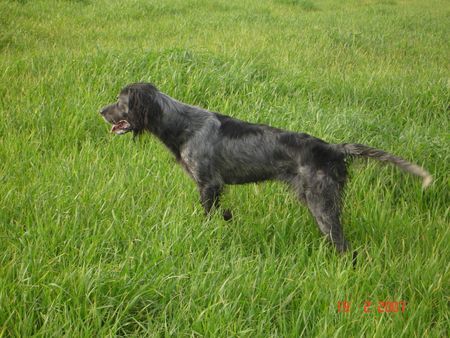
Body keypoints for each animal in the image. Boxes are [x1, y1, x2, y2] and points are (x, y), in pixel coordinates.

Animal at [99, 82, 432, 254]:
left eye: (120, 101)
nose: (100, 110)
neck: (182, 125)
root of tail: (332, 148)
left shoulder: (209, 184)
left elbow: (208, 215)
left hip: (321, 203)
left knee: (342, 244)